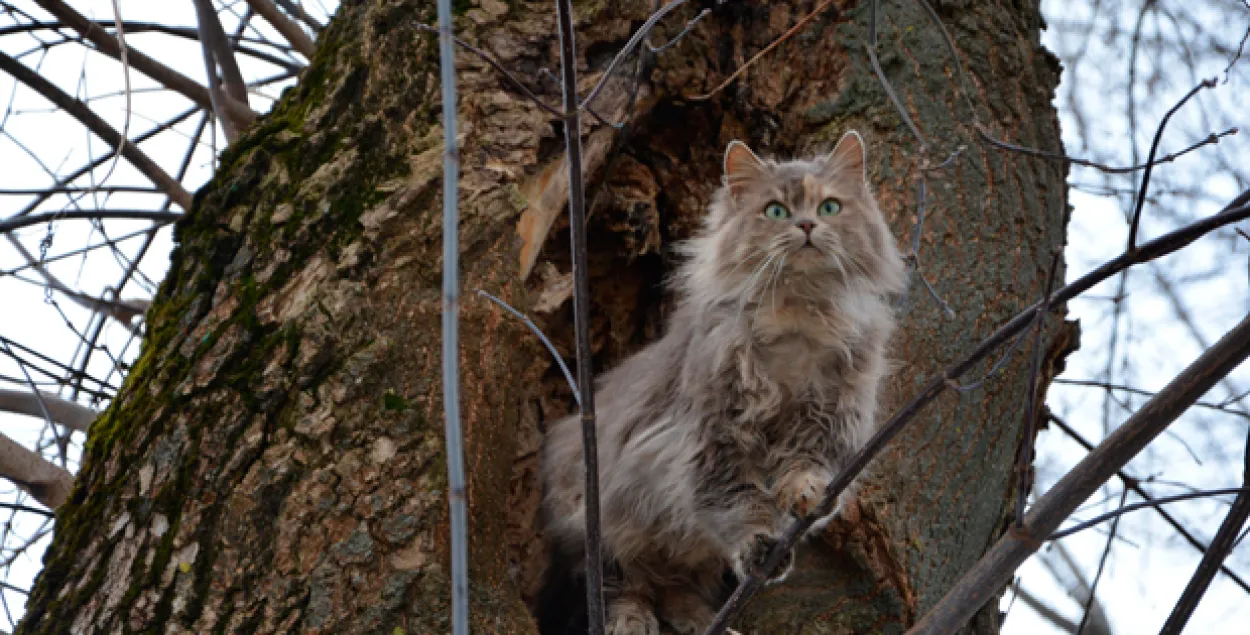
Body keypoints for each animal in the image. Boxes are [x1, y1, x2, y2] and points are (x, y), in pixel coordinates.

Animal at [542, 131, 905, 632]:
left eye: (830, 206)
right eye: (776, 211)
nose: (807, 225)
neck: (799, 318)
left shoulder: (830, 422)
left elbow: (809, 470)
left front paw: (807, 495)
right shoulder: (713, 439)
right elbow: (739, 505)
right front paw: (759, 548)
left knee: (676, 593)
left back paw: (709, 623)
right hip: (599, 521)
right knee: (621, 585)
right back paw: (632, 620)